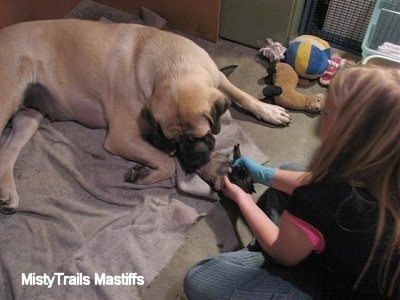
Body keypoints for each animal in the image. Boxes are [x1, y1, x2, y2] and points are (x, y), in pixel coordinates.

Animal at [0, 19, 290, 213]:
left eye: (202, 133)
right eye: (174, 141)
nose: (192, 163)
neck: (175, 66)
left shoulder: (216, 77)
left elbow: (242, 94)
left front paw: (269, 110)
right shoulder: (120, 138)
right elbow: (166, 163)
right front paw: (145, 175)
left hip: (28, 116)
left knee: (7, 150)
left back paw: (7, 192)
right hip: (7, 102)